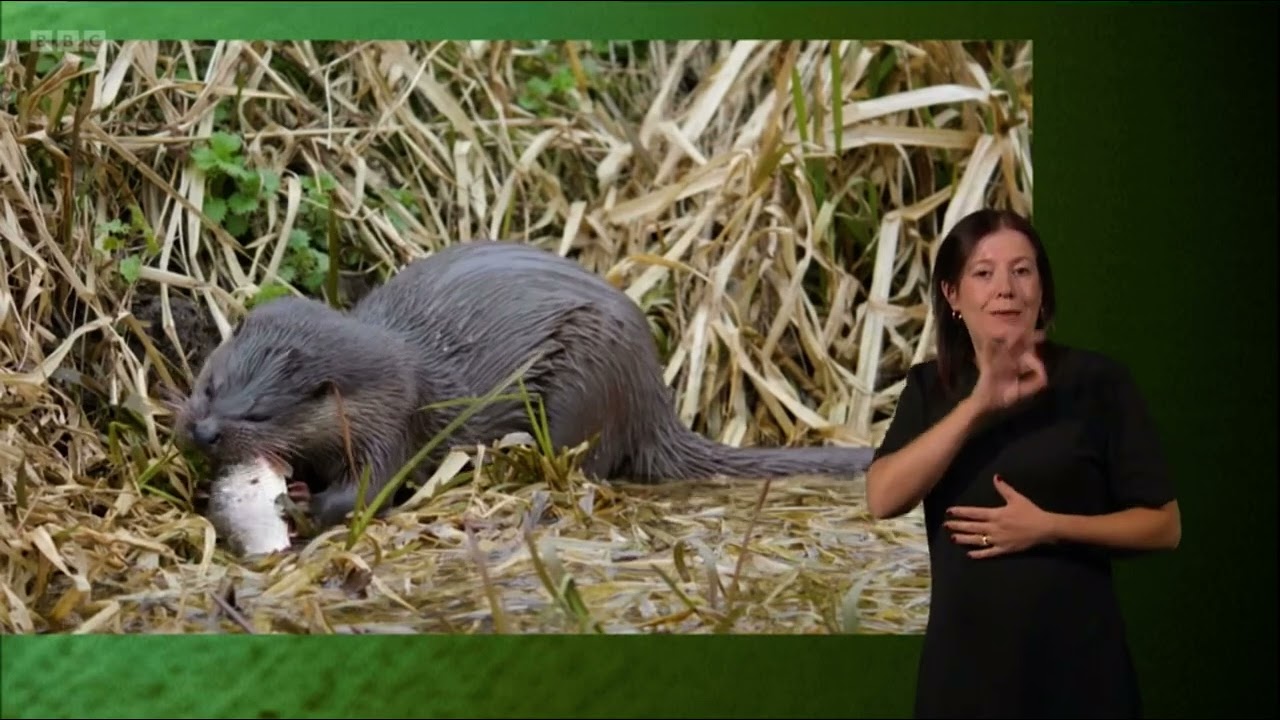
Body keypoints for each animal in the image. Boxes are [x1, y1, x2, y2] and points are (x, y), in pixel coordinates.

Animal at [175, 240, 876, 530]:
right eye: (209, 385)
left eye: (260, 415)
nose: (203, 431)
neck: (386, 378)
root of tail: (653, 397)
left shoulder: (395, 421)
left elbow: (371, 490)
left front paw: (304, 502)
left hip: (586, 378)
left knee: (588, 462)